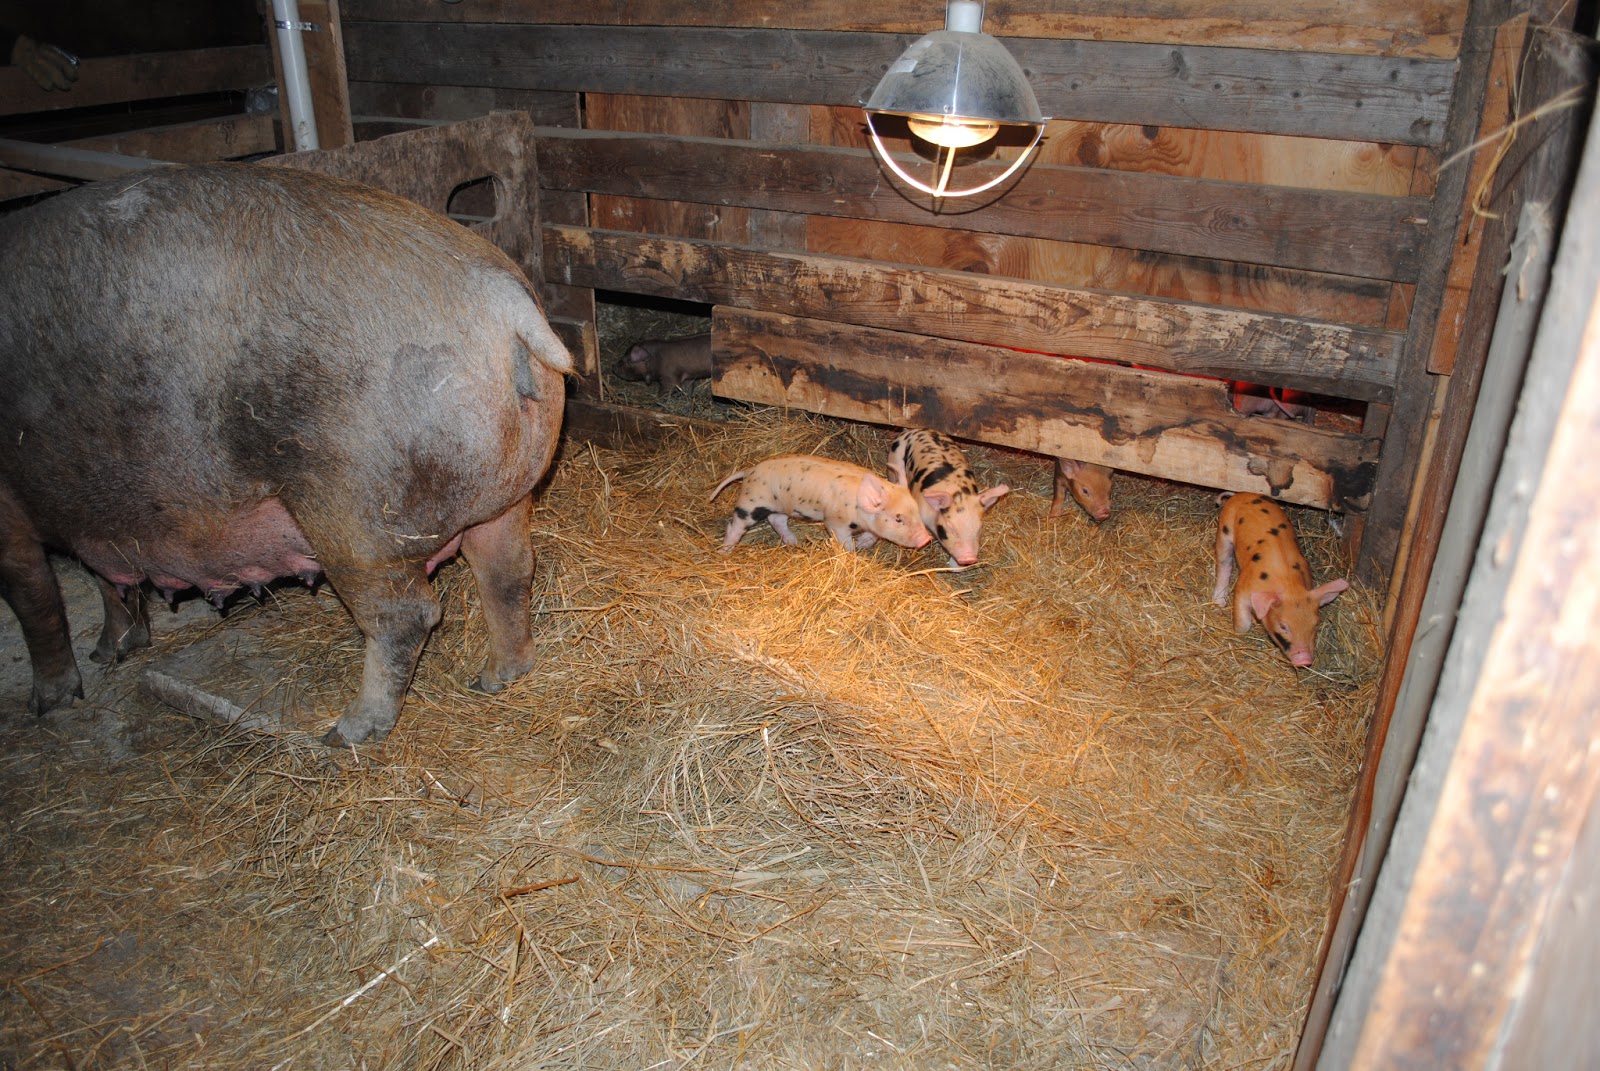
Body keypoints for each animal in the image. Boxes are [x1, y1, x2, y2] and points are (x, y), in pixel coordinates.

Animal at [0, 162, 574, 746]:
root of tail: (503, 302)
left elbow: (35, 599)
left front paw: (47, 703)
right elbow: (106, 578)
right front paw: (109, 653)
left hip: (354, 515)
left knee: (406, 614)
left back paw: (346, 733)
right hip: (503, 493)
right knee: (507, 571)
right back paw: (494, 680)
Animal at [710, 455, 931, 553]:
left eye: (916, 512)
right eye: (898, 519)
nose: (926, 539)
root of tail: (748, 471)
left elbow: (874, 535)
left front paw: (862, 544)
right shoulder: (835, 520)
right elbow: (842, 538)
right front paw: (852, 551)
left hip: (779, 505)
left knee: (776, 519)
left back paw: (794, 542)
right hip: (750, 503)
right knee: (734, 526)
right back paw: (724, 551)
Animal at [886, 429, 1009, 568]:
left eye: (979, 529)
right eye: (951, 529)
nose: (969, 559)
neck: (958, 492)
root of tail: (915, 430)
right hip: (894, 457)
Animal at [1212, 492, 1349, 667]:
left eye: (1315, 624)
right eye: (1283, 626)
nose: (1304, 660)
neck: (1289, 584)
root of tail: (1242, 494)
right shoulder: (1244, 586)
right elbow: (1243, 622)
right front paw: (1239, 631)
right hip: (1224, 529)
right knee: (1224, 563)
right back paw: (1218, 602)